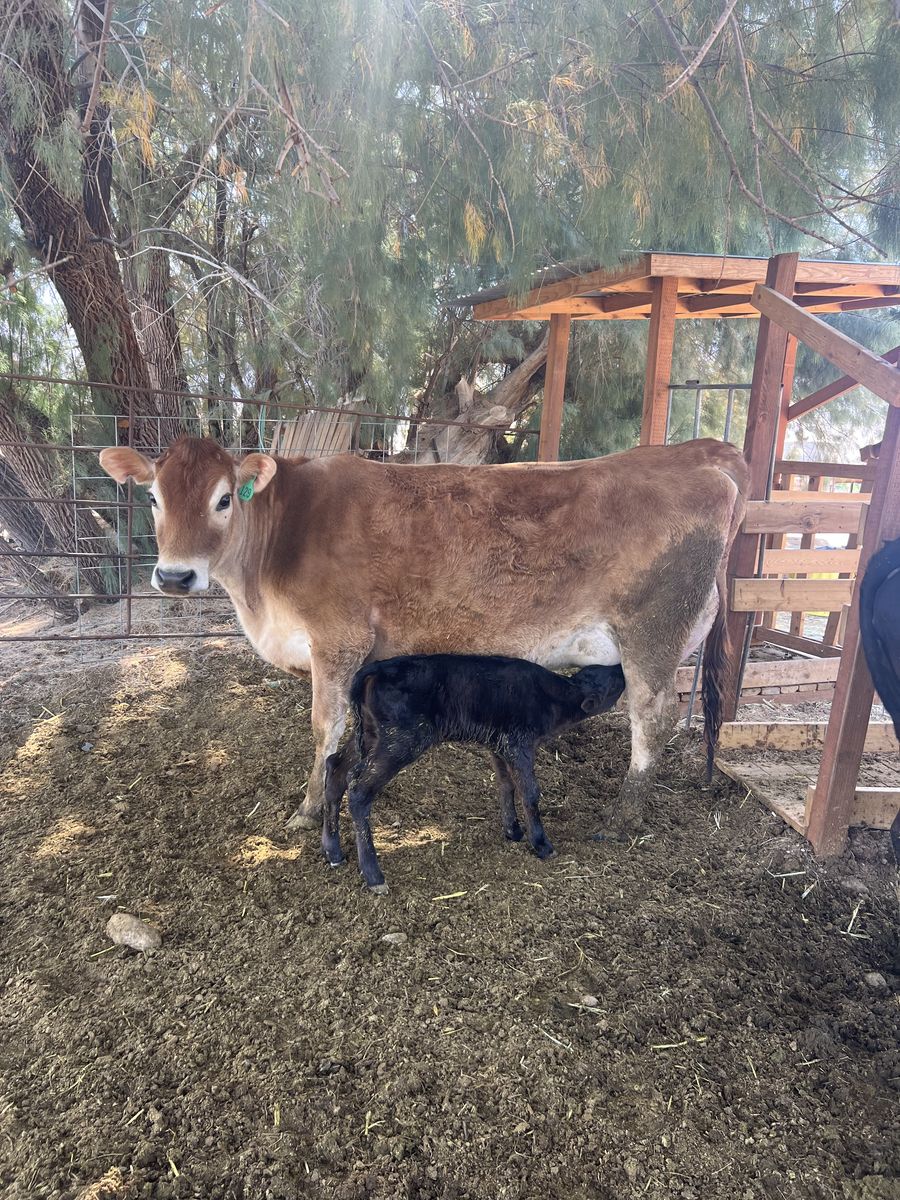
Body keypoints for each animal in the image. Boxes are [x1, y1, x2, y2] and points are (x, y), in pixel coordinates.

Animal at [98, 435, 749, 839]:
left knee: (653, 718)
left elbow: (324, 727)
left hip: (653, 634)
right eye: (152, 496)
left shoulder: (337, 640)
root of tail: (697, 455)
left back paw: (622, 817)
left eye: (224, 498)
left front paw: (309, 809)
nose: (174, 576)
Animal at [322, 654, 627, 892]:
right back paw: (373, 875)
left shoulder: (499, 744)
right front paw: (541, 844)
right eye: (611, 682)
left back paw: (333, 851)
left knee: (335, 767)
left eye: (601, 670)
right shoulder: (519, 742)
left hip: (371, 735)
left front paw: (513, 829)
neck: (554, 697)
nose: (622, 668)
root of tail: (373, 669)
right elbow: (529, 791)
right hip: (401, 739)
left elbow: (506, 784)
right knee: (359, 789)